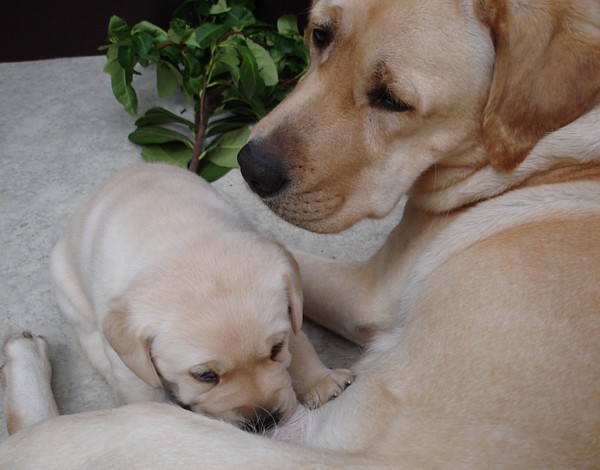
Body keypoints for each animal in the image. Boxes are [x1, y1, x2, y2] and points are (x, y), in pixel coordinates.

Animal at [50, 163, 356, 432]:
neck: (182, 241)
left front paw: (321, 382)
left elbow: (299, 342)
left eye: (275, 350)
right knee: (92, 343)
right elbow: (142, 390)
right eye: (205, 376)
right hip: (70, 295)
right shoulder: (129, 362)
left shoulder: (290, 308)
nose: (266, 420)